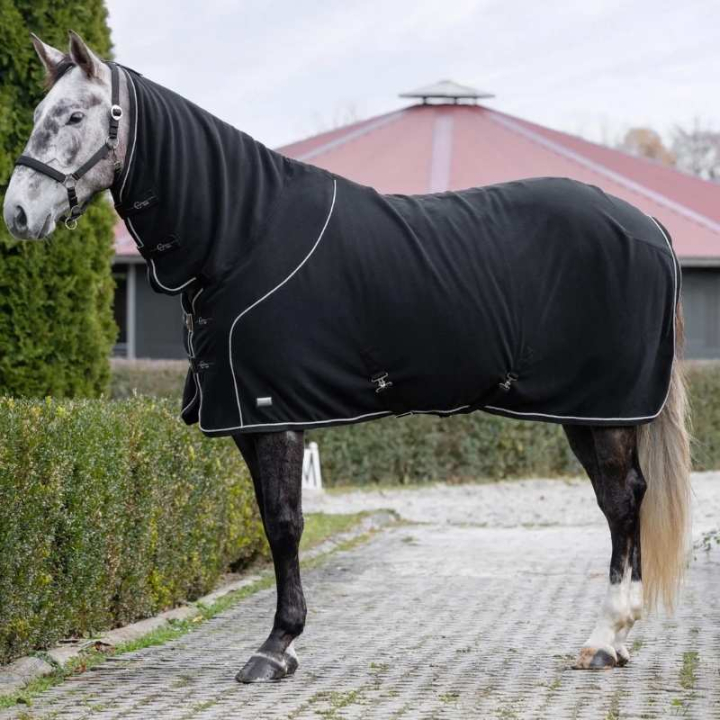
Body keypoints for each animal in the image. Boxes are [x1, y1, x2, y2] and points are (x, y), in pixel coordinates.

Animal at [3, 32, 691, 683]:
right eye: (38, 112)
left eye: (73, 116)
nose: (18, 213)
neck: (243, 237)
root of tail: (650, 227)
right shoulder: (247, 421)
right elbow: (270, 519)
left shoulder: (274, 414)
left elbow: (284, 523)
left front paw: (276, 648)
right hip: (585, 412)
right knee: (618, 499)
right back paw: (613, 642)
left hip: (603, 409)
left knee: (623, 501)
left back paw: (606, 637)